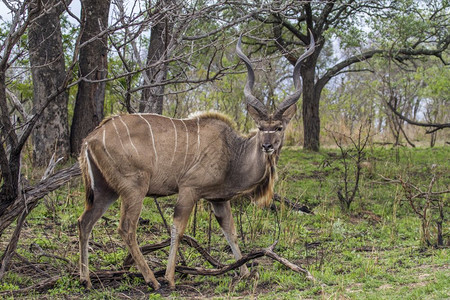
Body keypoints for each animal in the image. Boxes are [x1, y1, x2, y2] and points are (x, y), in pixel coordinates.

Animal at [77, 34, 314, 290]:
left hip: (107, 190)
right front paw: (170, 278)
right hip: (134, 188)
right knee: (126, 228)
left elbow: (230, 231)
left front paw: (245, 273)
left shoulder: (219, 200)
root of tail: (90, 139)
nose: (267, 145)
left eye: (279, 127)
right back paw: (153, 280)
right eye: (261, 127)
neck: (233, 153)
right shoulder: (189, 189)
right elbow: (178, 229)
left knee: (84, 222)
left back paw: (86, 279)